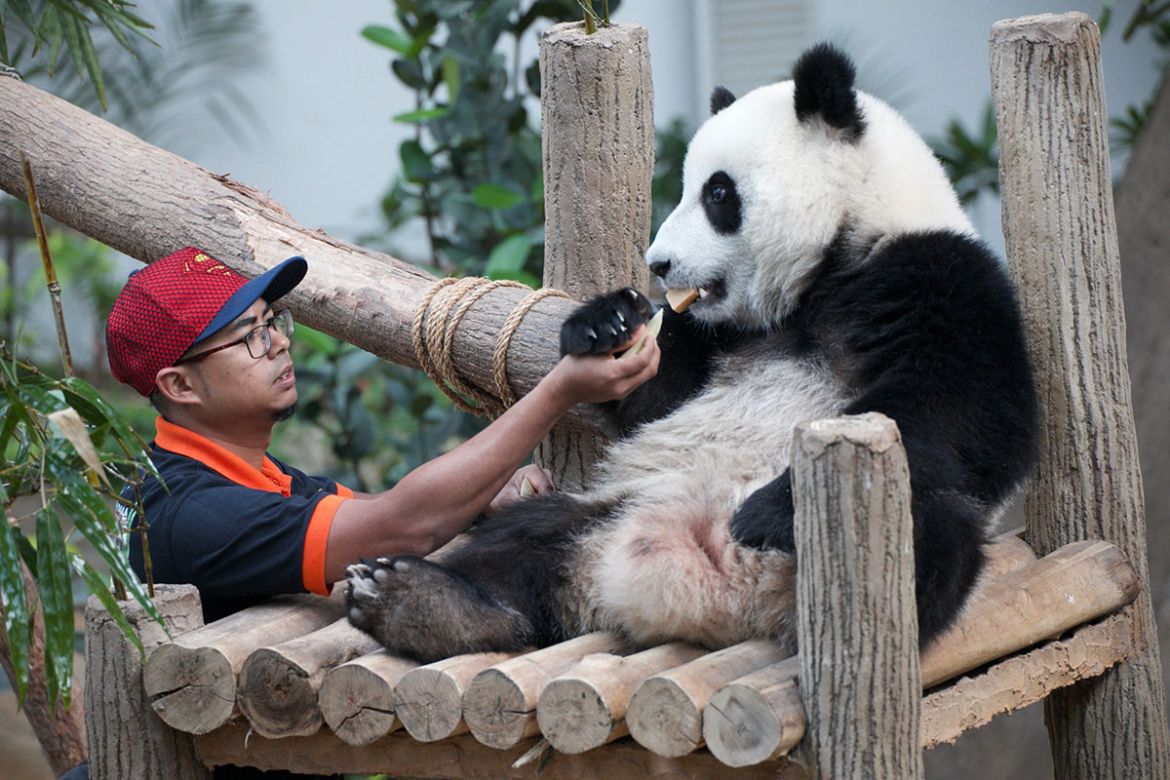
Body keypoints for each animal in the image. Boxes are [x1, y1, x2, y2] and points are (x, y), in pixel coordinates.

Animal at [345, 43, 1039, 663]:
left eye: (718, 193)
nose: (659, 264)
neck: (827, 267)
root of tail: (708, 595)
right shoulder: (723, 338)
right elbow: (658, 397)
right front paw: (606, 324)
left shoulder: (939, 276)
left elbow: (969, 413)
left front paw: (768, 511)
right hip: (620, 501)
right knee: (523, 540)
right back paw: (422, 604)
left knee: (935, 525)